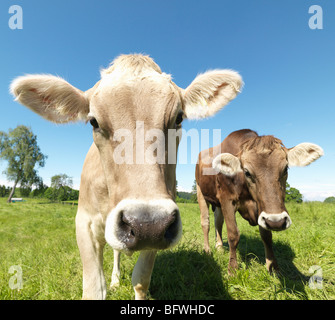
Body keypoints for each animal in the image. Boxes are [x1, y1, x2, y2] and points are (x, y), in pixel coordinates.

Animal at [10, 54, 244, 300]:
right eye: (93, 121)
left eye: (179, 118)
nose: (147, 224)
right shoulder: (83, 222)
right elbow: (94, 288)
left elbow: (141, 280)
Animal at [196, 129, 324, 274]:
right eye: (247, 172)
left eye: (285, 169)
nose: (277, 221)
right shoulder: (226, 199)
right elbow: (233, 234)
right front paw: (232, 270)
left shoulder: (261, 208)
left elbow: (266, 236)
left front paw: (273, 267)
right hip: (200, 191)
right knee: (205, 223)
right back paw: (207, 250)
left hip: (217, 204)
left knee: (218, 222)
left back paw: (219, 247)